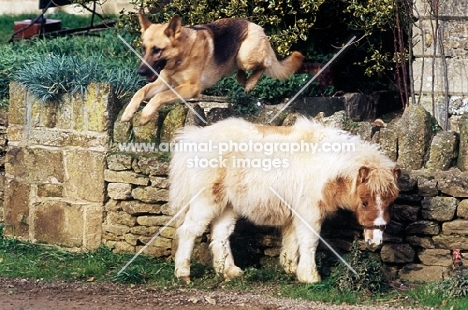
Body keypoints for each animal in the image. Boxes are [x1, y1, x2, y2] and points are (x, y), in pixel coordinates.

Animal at [120, 12, 304, 123]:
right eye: (143, 49)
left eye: (157, 50)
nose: (140, 72)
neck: (182, 55)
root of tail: (256, 25)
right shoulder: (163, 83)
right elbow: (140, 91)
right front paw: (128, 112)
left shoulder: (191, 88)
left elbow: (159, 97)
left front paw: (145, 115)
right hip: (238, 59)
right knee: (242, 71)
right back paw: (244, 78)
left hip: (245, 56)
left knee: (265, 63)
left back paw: (251, 82)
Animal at [168, 116, 398, 284]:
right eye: (365, 201)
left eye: (390, 203)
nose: (375, 243)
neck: (327, 167)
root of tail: (194, 138)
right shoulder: (309, 212)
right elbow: (309, 242)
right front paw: (309, 276)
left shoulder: (296, 212)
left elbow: (292, 240)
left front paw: (290, 268)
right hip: (206, 201)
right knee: (188, 231)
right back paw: (183, 273)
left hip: (227, 205)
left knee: (220, 236)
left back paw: (230, 271)